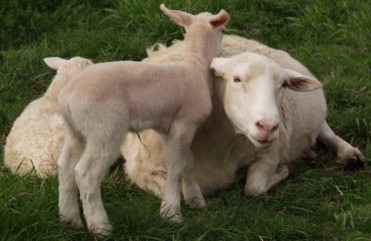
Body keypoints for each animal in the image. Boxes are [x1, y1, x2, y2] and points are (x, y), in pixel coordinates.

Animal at [57, 3, 230, 236]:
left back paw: (69, 219)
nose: (222, 51)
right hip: (104, 128)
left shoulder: (168, 128)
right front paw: (171, 212)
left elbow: (187, 161)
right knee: (86, 173)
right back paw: (100, 226)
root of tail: (67, 98)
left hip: (76, 131)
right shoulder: (184, 123)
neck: (196, 65)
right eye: (223, 31)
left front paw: (195, 199)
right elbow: (176, 165)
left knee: (65, 166)